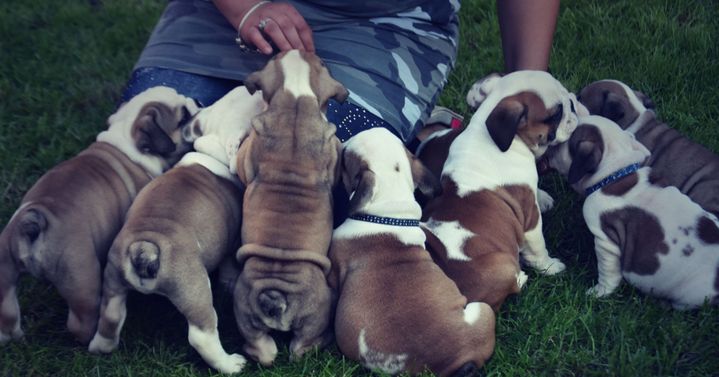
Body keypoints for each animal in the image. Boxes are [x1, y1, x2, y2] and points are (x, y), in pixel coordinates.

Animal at [0, 86, 198, 344]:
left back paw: (13, 337)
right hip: (82, 282)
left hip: (4, 272)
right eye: (183, 117)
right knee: (80, 323)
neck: (127, 135)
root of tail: (34, 222)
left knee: (8, 314)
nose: (197, 101)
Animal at [86, 87, 262, 374]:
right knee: (202, 336)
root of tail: (145, 248)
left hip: (113, 279)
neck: (212, 148)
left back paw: (101, 347)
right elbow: (229, 270)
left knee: (110, 317)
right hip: (195, 290)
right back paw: (231, 364)